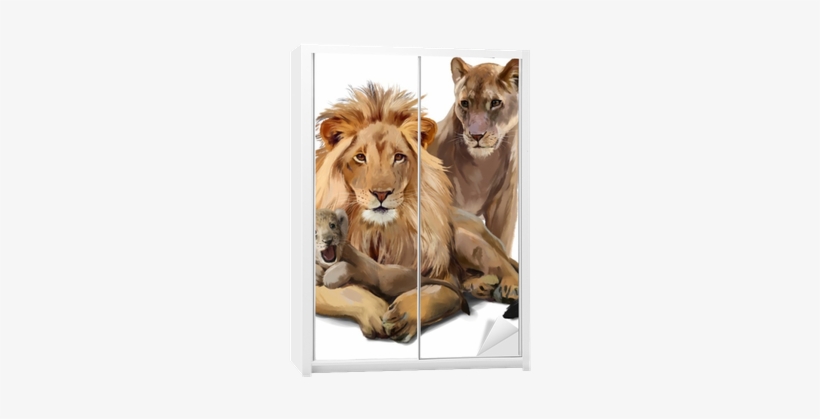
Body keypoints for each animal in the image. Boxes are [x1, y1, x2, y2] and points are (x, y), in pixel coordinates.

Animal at [314, 82, 520, 342]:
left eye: (399, 157)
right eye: (360, 157)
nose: (381, 193)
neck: (378, 231)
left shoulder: (440, 275)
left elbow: (436, 293)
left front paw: (403, 314)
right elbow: (343, 293)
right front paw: (375, 310)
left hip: (468, 238)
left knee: (504, 266)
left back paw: (508, 287)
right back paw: (480, 285)